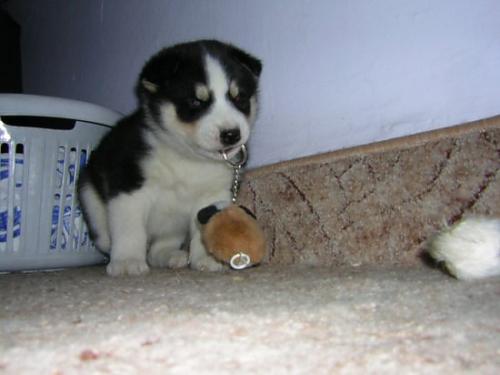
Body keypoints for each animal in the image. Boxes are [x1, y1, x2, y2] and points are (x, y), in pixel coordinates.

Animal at [78, 40, 262, 276]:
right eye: (195, 101)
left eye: (239, 97)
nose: (231, 134)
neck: (188, 157)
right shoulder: (128, 188)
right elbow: (130, 229)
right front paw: (127, 261)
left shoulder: (211, 195)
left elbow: (205, 226)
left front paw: (205, 258)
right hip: (89, 196)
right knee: (106, 236)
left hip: (172, 226)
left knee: (158, 247)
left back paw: (170, 256)